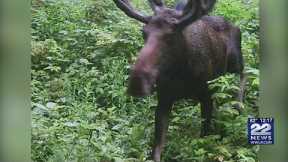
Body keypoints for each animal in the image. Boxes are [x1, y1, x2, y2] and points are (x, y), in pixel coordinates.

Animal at [112, 0, 245, 161]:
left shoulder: (207, 96)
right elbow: (156, 149)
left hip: (235, 61)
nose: (137, 82)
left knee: (244, 74)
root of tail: (235, 26)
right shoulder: (163, 99)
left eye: (171, 36)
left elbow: (204, 137)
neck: (181, 74)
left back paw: (239, 106)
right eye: (143, 33)